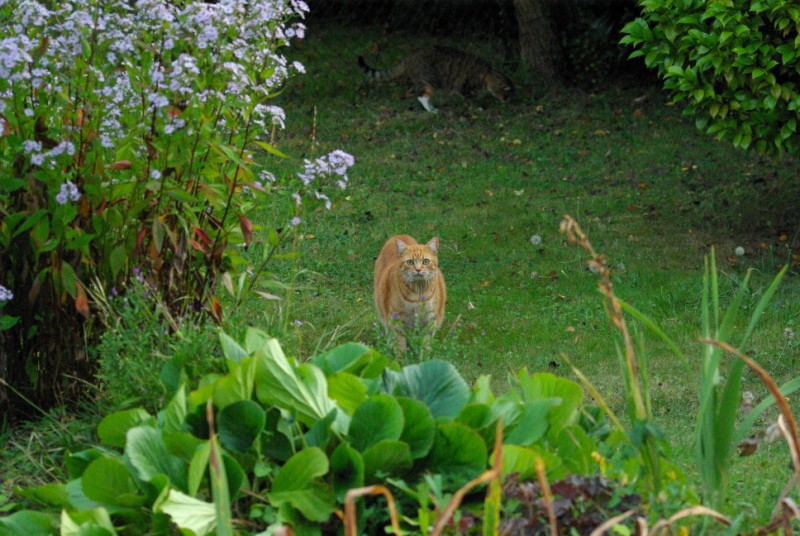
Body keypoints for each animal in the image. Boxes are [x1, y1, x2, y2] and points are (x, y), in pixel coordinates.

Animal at [356, 45, 512, 112]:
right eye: (506, 95)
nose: (507, 101)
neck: (488, 74)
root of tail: (412, 54)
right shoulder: (466, 87)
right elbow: (470, 98)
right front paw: (478, 107)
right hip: (428, 79)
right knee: (422, 96)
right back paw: (430, 108)